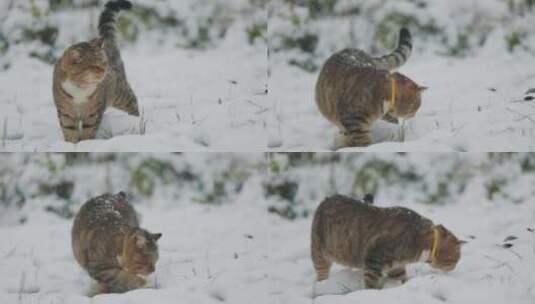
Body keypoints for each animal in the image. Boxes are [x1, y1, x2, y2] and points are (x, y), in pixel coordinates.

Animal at [52, 0, 138, 143]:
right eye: (94, 66)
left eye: (104, 62)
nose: (105, 71)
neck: (80, 88)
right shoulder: (65, 112)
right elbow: (69, 130)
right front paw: (71, 144)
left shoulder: (93, 112)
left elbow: (89, 129)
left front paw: (87, 143)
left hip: (120, 93)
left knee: (133, 101)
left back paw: (136, 121)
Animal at [312, 196, 462, 288]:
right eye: (455, 259)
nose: (454, 268)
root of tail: (325, 200)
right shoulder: (375, 255)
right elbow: (371, 281)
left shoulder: (396, 266)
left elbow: (401, 278)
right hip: (319, 253)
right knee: (321, 273)